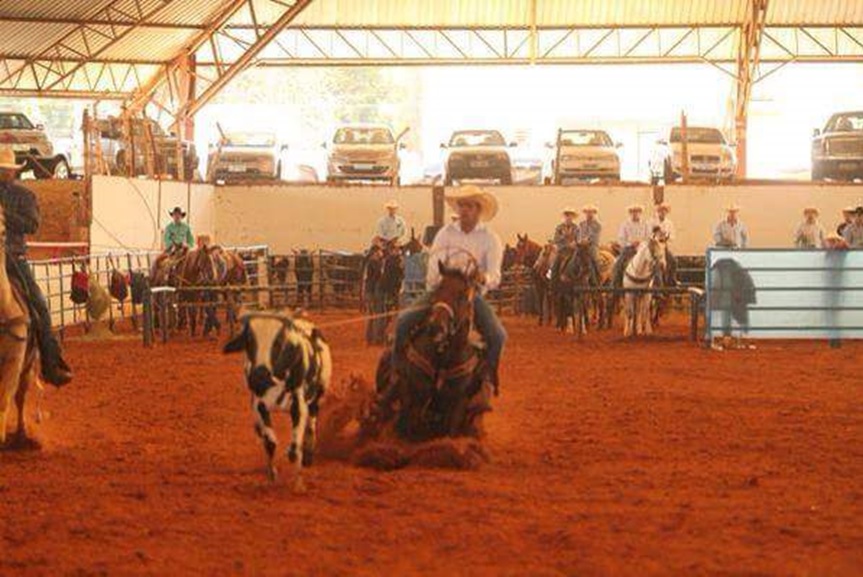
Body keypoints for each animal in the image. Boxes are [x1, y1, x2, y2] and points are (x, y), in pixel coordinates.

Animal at [223, 310, 332, 488]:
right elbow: (270, 442)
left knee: (312, 423)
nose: (259, 376)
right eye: (249, 341)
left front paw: (298, 483)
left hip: (317, 397)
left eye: (279, 342)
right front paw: (271, 474)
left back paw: (308, 454)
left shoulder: (299, 404)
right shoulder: (258, 405)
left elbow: (294, 449)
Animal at [372, 261, 493, 442]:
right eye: (438, 290)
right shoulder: (411, 396)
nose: (436, 325)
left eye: (462, 296)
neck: (443, 359)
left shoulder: (459, 403)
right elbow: (406, 429)